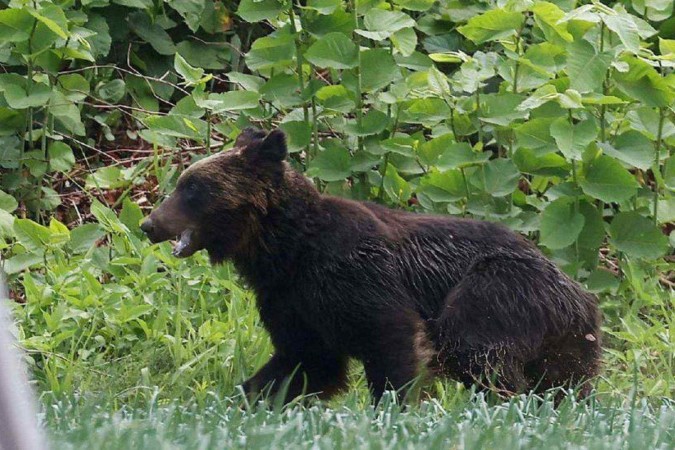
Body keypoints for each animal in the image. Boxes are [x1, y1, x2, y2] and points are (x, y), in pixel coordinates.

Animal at [141, 127, 604, 404]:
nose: (149, 223)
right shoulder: (291, 302)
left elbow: (391, 339)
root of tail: (579, 291)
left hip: (499, 289)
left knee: (476, 348)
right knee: (564, 382)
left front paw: (392, 407)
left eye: (192, 188)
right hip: (567, 341)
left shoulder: (356, 275)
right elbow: (304, 362)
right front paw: (246, 398)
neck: (285, 250)